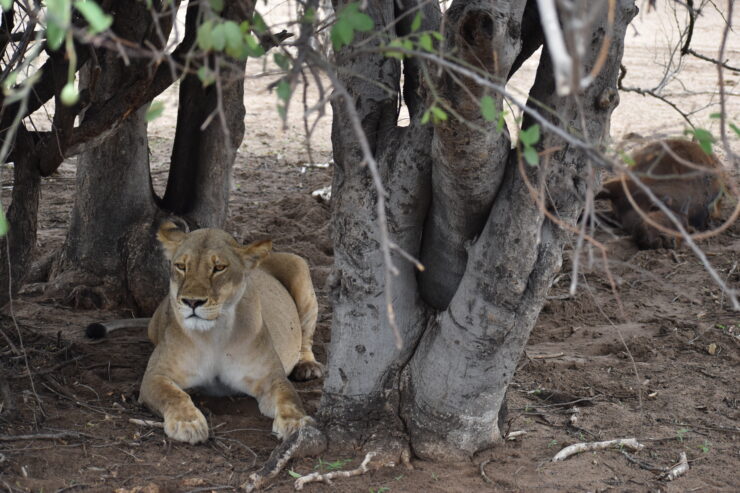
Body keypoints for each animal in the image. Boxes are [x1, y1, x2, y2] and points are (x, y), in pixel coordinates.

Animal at [87, 222, 323, 444]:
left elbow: (289, 397)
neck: (214, 335)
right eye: (181, 266)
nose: (192, 302)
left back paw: (307, 367)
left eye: (218, 267)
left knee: (306, 338)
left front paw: (297, 424)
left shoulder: (270, 377)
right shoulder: (156, 375)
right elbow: (173, 395)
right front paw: (187, 423)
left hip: (300, 268)